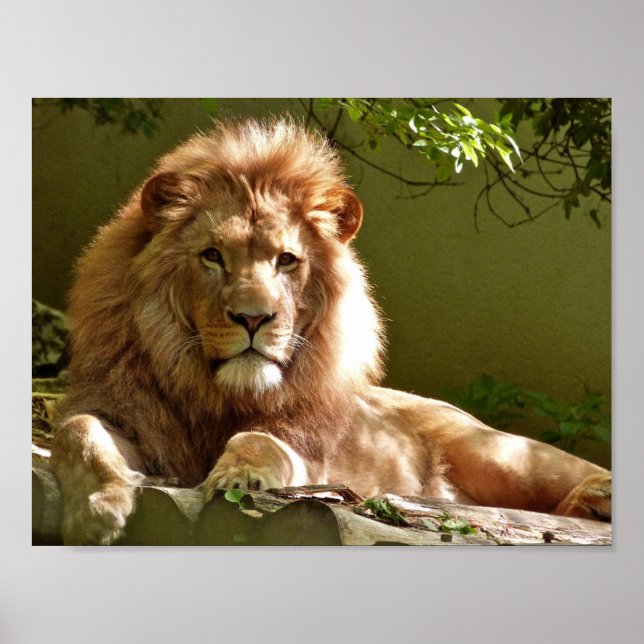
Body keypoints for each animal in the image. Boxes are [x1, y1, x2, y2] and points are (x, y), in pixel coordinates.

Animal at [50, 118, 611, 545]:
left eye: (286, 260)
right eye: (212, 256)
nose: (253, 318)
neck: (217, 393)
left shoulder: (309, 456)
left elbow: (261, 440)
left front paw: (239, 474)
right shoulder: (126, 413)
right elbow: (78, 431)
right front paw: (99, 506)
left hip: (498, 454)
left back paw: (597, 496)